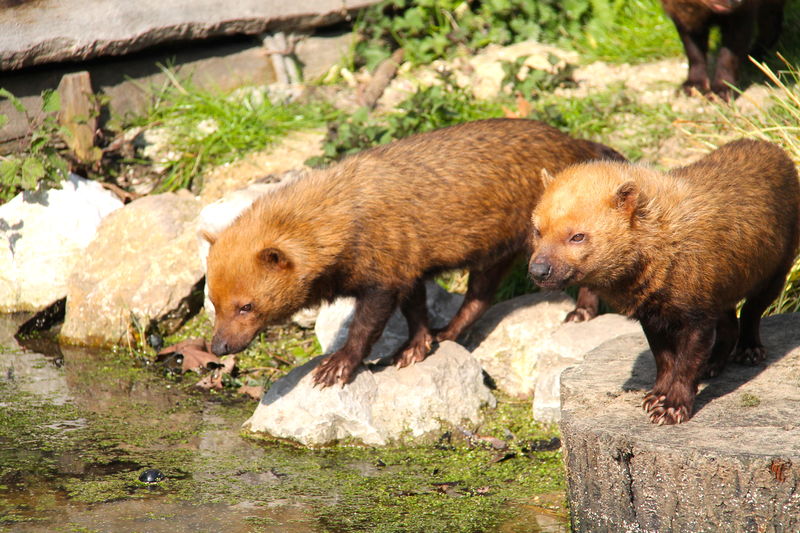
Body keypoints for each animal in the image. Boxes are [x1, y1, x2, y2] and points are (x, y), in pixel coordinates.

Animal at [202, 119, 624, 386]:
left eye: (246, 306)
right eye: (213, 302)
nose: (218, 347)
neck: (344, 215)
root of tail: (578, 143)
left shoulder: (384, 277)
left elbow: (365, 327)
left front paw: (337, 367)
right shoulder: (409, 267)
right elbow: (416, 312)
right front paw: (416, 348)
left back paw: (581, 312)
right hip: (495, 253)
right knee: (480, 298)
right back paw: (448, 331)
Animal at [528, 139, 796, 426]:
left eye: (578, 236)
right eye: (537, 230)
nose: (538, 270)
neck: (666, 244)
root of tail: (773, 147)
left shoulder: (698, 311)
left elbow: (686, 362)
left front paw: (672, 407)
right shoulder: (654, 312)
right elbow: (665, 359)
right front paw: (656, 396)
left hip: (778, 268)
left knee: (751, 310)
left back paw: (749, 350)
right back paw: (713, 364)